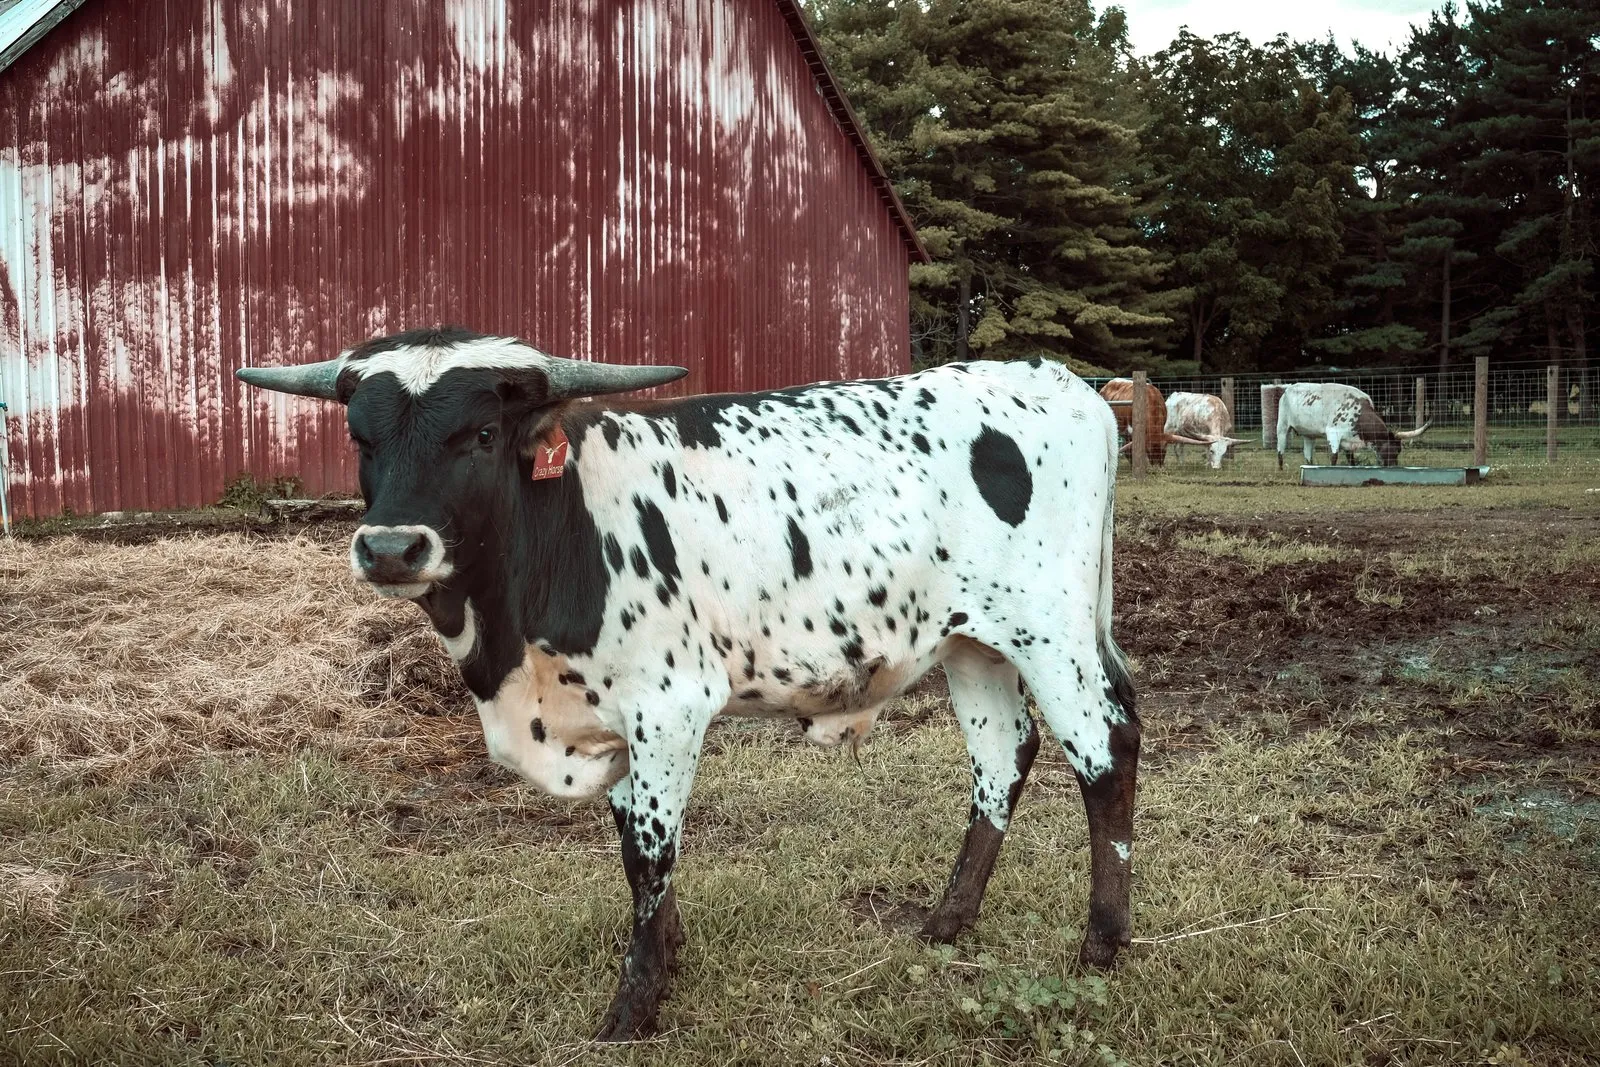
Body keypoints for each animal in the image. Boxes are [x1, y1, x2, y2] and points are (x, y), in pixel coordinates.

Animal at [237, 328, 1141, 1041]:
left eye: (483, 431)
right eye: (361, 436)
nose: (392, 547)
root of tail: (1057, 381)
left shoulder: (668, 709)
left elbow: (651, 852)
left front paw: (633, 1006)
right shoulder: (610, 717)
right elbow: (632, 844)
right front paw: (667, 955)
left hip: (1051, 631)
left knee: (1106, 750)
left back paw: (1101, 945)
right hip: (971, 641)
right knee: (1002, 755)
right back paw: (948, 921)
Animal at [1275, 382, 1429, 469]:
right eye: (1396, 450)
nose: (1394, 466)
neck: (1359, 414)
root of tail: (1288, 389)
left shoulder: (1348, 441)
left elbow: (1351, 460)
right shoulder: (1333, 434)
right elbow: (1334, 457)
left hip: (1309, 434)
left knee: (1307, 454)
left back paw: (1309, 465)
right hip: (1282, 426)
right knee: (1280, 450)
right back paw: (1281, 469)